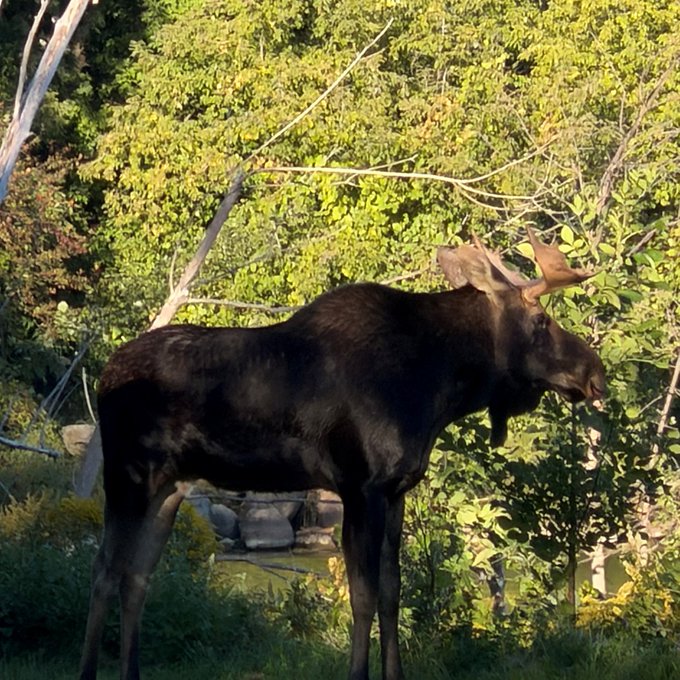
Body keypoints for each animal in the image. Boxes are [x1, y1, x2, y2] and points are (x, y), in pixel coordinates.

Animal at [79, 228, 605, 680]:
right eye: (541, 321)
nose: (594, 373)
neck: (439, 386)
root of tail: (105, 375)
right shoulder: (361, 487)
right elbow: (363, 597)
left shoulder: (396, 491)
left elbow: (392, 593)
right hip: (127, 476)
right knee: (104, 570)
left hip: (169, 487)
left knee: (137, 577)